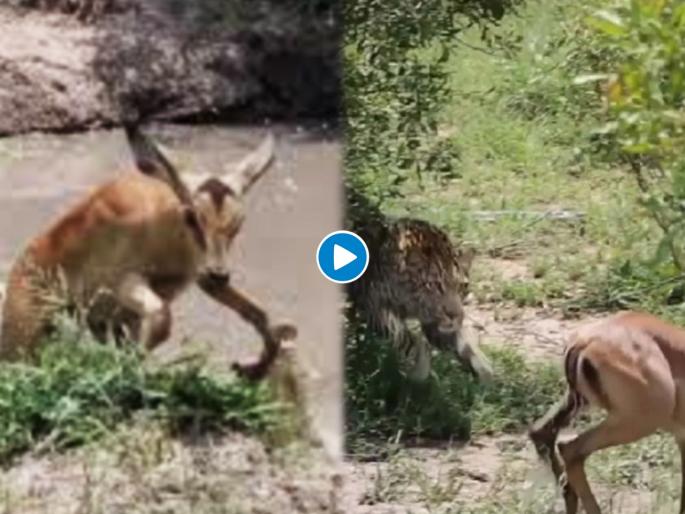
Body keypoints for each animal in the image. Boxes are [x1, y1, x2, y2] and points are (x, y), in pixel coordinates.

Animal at [0, 125, 296, 380]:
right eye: (192, 216)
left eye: (238, 222)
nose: (219, 275)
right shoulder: (124, 282)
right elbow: (163, 318)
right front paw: (134, 368)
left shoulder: (200, 276)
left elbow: (260, 314)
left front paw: (252, 368)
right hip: (29, 332)